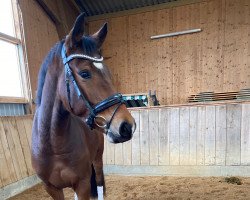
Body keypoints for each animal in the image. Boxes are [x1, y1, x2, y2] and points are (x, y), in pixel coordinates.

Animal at [32, 13, 137, 199]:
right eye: (84, 73)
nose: (127, 126)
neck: (53, 144)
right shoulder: (51, 188)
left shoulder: (82, 183)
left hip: (97, 160)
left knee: (100, 184)